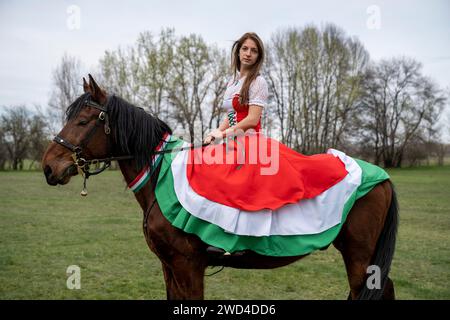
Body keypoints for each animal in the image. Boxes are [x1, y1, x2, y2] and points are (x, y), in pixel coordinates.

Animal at [42, 75, 400, 300]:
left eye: (83, 121)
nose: (48, 167)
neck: (160, 176)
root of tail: (379, 176)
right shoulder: (168, 265)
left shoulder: (188, 265)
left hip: (359, 256)